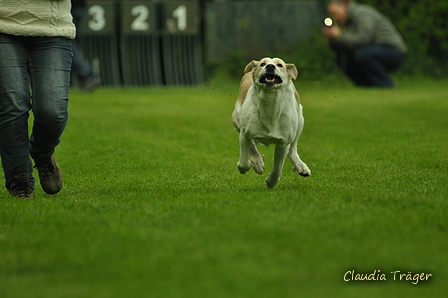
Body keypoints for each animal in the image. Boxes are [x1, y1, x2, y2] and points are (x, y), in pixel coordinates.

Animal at [233, 57, 310, 189]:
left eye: (280, 65)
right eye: (262, 64)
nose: (270, 66)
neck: (269, 101)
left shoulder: (283, 142)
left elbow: (278, 167)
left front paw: (271, 181)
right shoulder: (244, 132)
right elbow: (243, 160)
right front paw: (253, 163)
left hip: (300, 119)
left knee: (292, 148)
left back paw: (301, 166)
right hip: (236, 118)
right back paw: (257, 161)